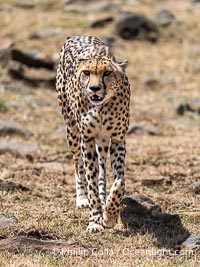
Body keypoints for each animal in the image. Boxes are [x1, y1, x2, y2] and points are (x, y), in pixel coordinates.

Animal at [55, 36, 130, 233]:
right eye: (87, 72)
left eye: (107, 73)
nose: (95, 88)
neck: (102, 107)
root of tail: (76, 36)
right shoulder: (87, 139)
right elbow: (91, 181)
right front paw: (95, 221)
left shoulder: (118, 139)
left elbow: (119, 182)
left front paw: (110, 215)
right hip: (72, 132)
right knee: (78, 163)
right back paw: (82, 198)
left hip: (102, 142)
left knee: (102, 167)